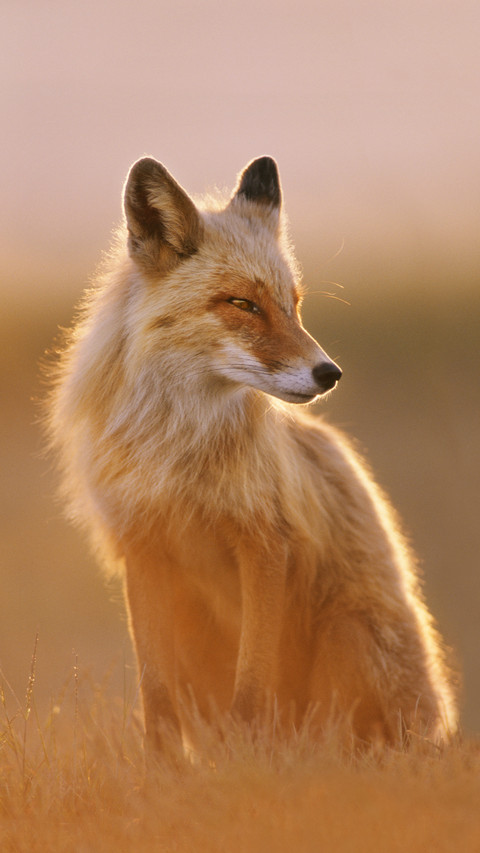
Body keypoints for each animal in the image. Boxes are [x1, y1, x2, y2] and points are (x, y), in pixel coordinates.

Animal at [47, 154, 457, 755]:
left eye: (295, 306)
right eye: (243, 303)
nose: (329, 373)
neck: (175, 450)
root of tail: (438, 726)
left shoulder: (266, 542)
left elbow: (253, 683)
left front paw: (248, 761)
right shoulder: (142, 545)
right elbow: (155, 690)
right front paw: (163, 767)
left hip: (347, 635)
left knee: (342, 739)